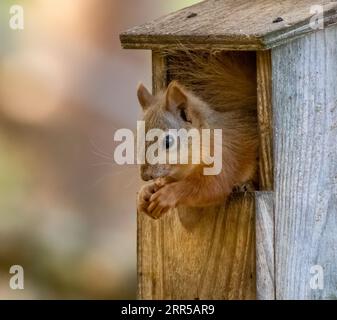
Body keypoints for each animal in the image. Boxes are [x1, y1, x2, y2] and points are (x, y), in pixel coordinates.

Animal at [136, 51, 258, 219]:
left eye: (168, 142)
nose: (145, 176)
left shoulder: (224, 158)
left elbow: (209, 188)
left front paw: (167, 195)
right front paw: (145, 192)